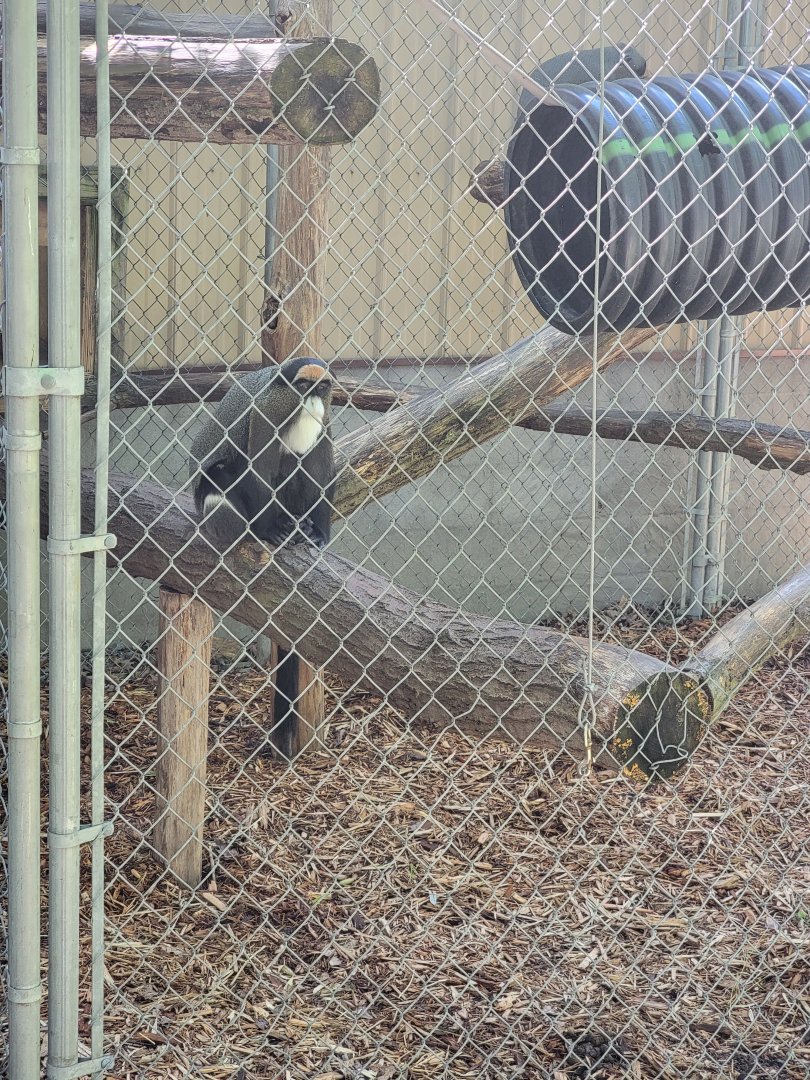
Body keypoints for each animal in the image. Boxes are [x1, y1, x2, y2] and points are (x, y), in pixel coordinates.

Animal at [189, 356, 336, 759]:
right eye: (303, 387)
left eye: (322, 389)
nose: (313, 403)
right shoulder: (265, 415)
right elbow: (255, 469)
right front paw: (271, 531)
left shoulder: (326, 424)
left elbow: (320, 470)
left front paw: (320, 532)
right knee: (224, 474)